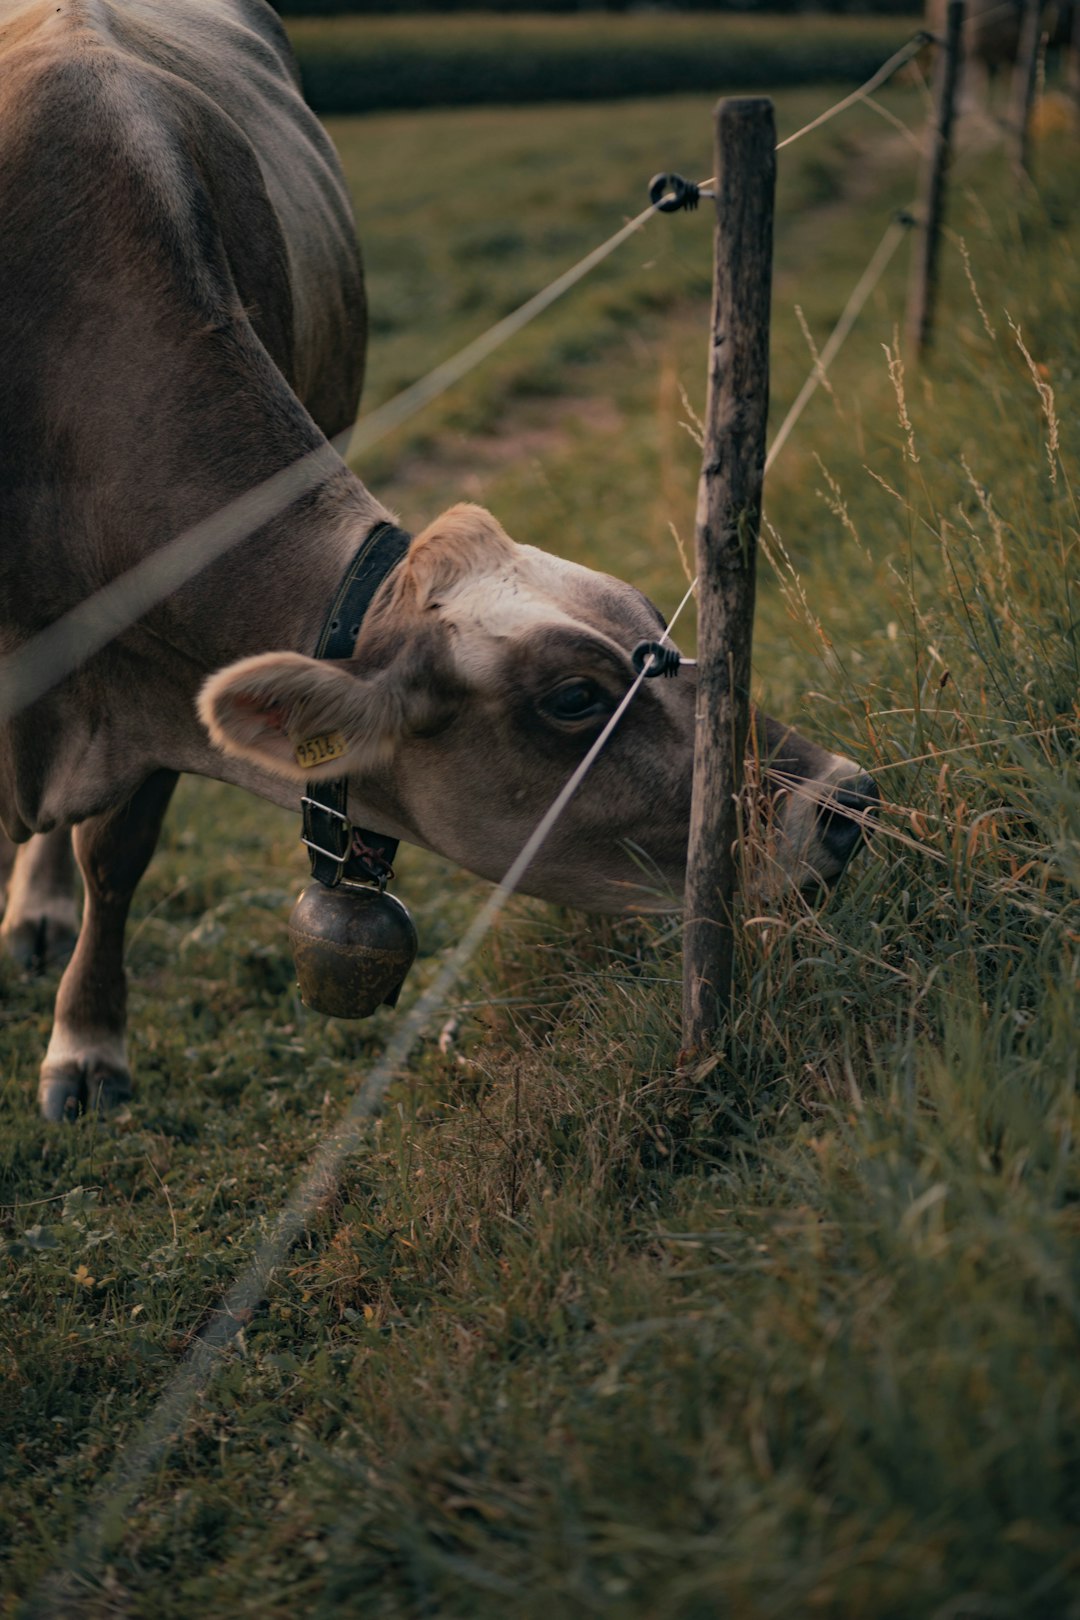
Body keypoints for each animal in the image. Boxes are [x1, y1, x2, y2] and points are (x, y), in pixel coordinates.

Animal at [0, 0, 874, 1114]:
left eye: (656, 623)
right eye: (575, 698)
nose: (846, 799)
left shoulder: (155, 673)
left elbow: (115, 850)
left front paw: (87, 1041)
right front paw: (85, 1047)